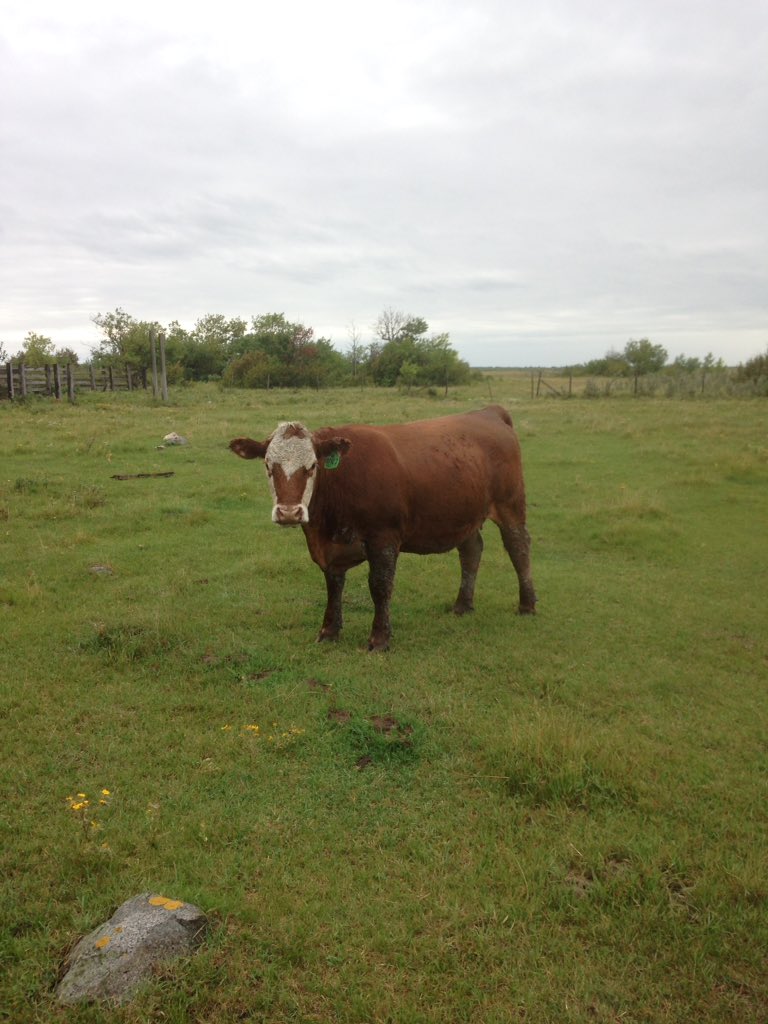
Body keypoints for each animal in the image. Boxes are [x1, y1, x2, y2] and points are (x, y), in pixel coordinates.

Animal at [229, 405, 535, 651]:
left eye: (313, 465)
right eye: (268, 465)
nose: (289, 513)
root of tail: (488, 412)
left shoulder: (384, 539)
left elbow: (380, 587)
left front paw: (379, 639)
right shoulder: (329, 548)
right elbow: (333, 586)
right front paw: (329, 632)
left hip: (510, 505)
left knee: (518, 548)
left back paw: (527, 605)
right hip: (465, 514)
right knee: (471, 551)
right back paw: (463, 605)